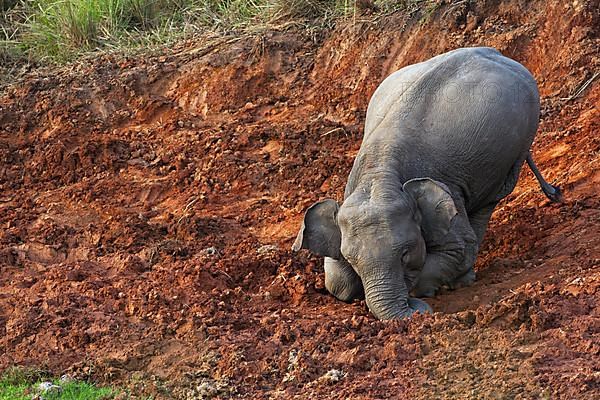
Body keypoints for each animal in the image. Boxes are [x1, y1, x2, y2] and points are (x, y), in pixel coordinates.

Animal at [292, 47, 560, 320]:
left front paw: (424, 286)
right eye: (352, 260)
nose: (413, 308)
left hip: (518, 147)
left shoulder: (448, 187)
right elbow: (337, 282)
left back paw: (465, 278)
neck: (380, 172)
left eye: (405, 253)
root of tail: (493, 51)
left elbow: (459, 249)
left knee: (490, 201)